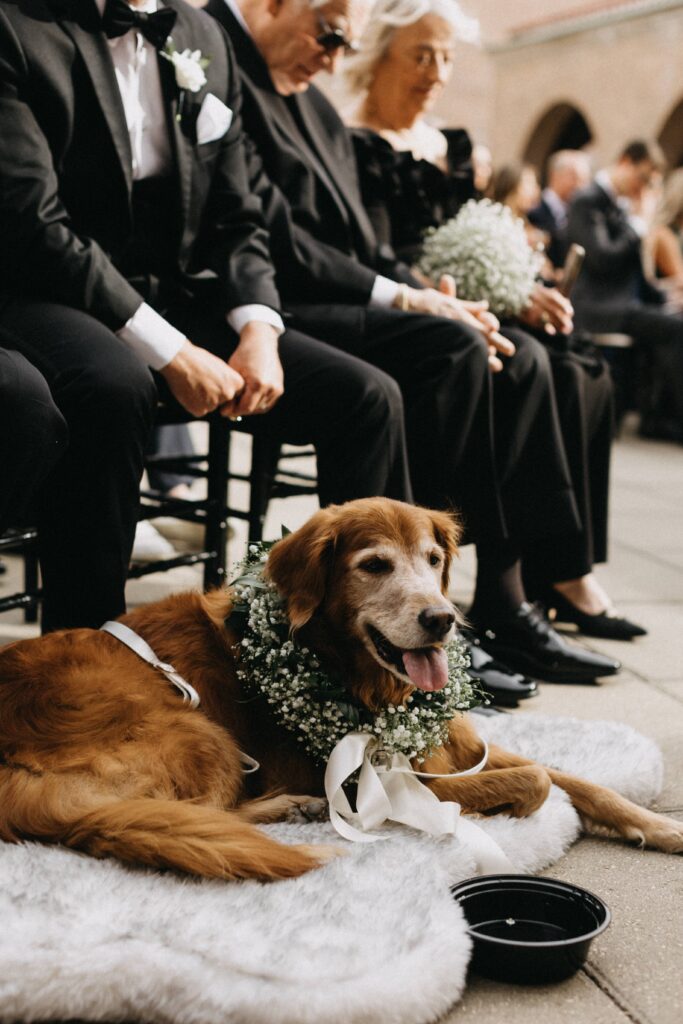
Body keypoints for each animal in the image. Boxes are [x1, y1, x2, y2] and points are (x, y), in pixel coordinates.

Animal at [0, 497, 679, 880]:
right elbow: (536, 780)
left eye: (434, 559)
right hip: (199, 734)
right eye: (375, 565)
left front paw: (657, 826)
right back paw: (291, 808)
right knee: (198, 813)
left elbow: (578, 780)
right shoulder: (373, 779)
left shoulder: (453, 747)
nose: (442, 619)